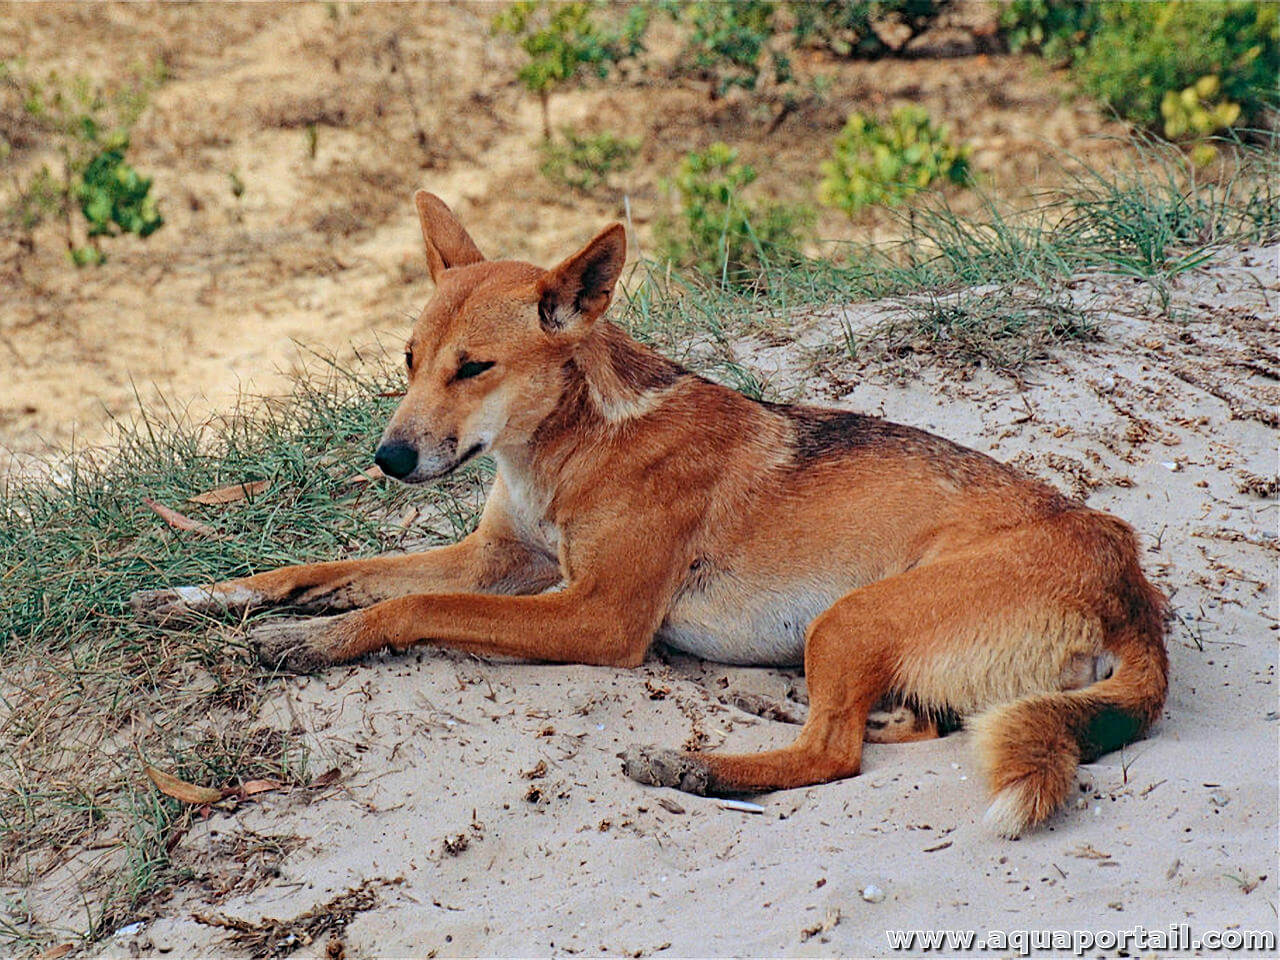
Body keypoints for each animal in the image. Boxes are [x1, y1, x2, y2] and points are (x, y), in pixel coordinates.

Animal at [132, 192, 1172, 839]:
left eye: (475, 368)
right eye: (410, 359)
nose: (388, 459)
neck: (572, 447)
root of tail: (1132, 586)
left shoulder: (596, 616)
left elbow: (407, 607)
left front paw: (312, 642)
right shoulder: (496, 559)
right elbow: (321, 570)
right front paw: (207, 594)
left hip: (853, 613)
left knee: (834, 755)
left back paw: (699, 769)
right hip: (866, 639)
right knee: (905, 725)